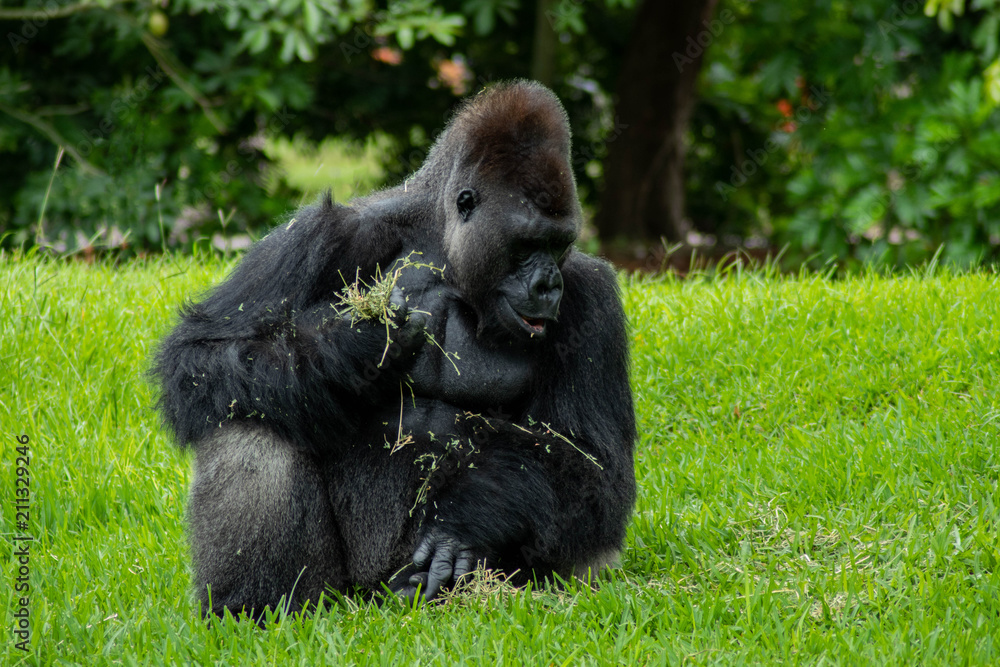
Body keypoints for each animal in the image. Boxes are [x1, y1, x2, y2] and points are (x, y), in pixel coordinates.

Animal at [154, 81, 640, 620]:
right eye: (527, 243)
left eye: (558, 245)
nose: (548, 286)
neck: (445, 249)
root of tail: (372, 603)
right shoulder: (323, 232)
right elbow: (200, 354)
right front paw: (352, 351)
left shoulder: (593, 297)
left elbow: (591, 464)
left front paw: (468, 521)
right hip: (340, 593)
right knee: (249, 415)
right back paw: (256, 608)